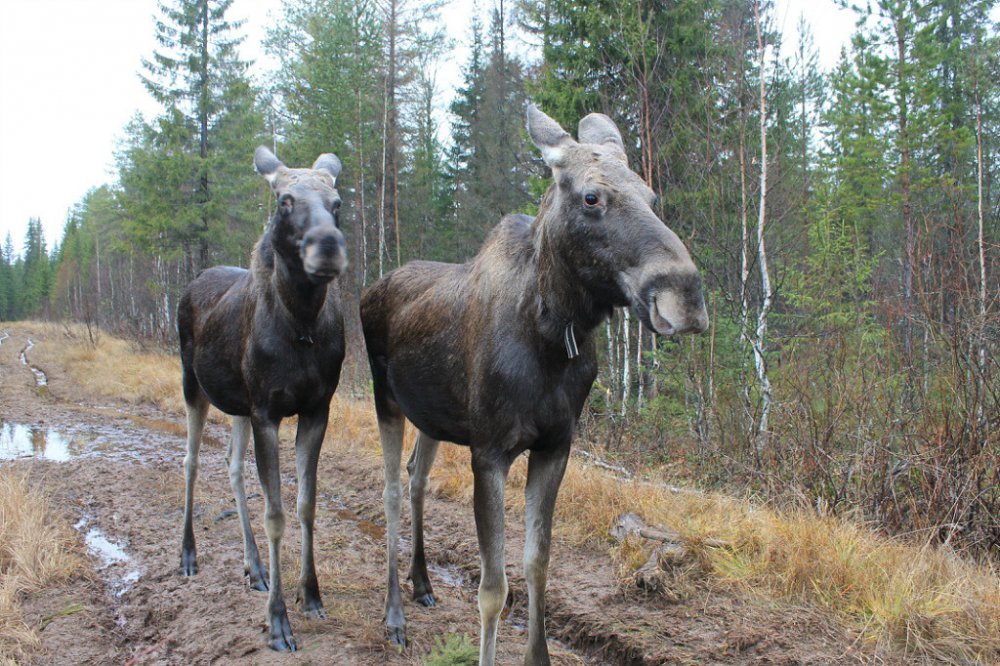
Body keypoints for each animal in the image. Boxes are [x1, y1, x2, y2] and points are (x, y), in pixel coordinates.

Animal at [179, 145, 348, 648]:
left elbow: (306, 504)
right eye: (284, 200)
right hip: (193, 384)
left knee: (232, 467)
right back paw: (187, 554)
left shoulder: (315, 409)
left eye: (337, 203)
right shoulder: (267, 413)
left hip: (235, 404)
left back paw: (253, 567)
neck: (302, 326)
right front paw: (278, 622)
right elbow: (276, 513)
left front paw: (310, 595)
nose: (327, 245)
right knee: (191, 461)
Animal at [364, 106, 708, 660]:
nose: (685, 295)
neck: (552, 335)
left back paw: (422, 583)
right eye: (591, 197)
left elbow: (537, 564)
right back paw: (394, 614)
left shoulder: (555, 447)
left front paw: (538, 654)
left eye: (652, 196)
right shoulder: (489, 452)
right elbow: (493, 588)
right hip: (385, 398)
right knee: (392, 490)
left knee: (416, 478)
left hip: (432, 417)